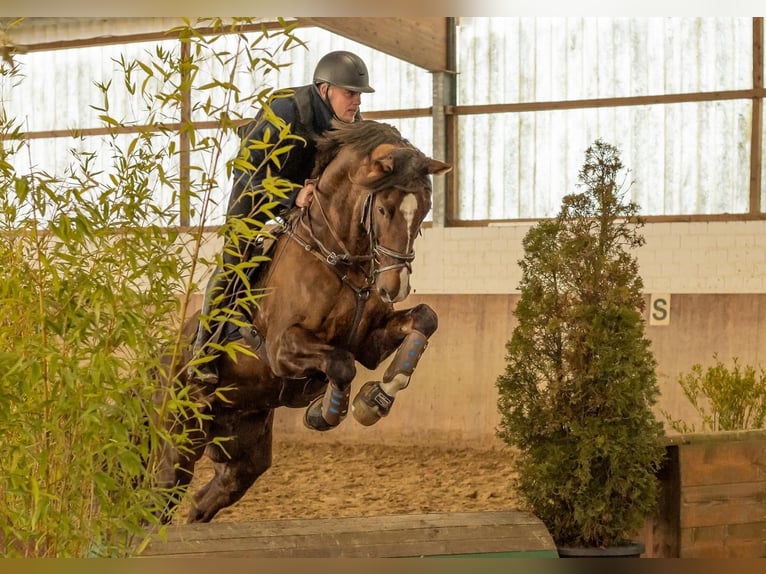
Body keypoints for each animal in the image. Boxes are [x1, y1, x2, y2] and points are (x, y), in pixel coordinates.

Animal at [156, 120, 452, 523]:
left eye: (424, 209)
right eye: (384, 209)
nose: (395, 286)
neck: (338, 257)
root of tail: (159, 364)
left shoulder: (369, 343)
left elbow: (425, 319)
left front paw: (377, 398)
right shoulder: (283, 349)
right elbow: (341, 365)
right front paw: (326, 413)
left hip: (241, 448)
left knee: (206, 499)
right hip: (182, 437)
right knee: (158, 497)